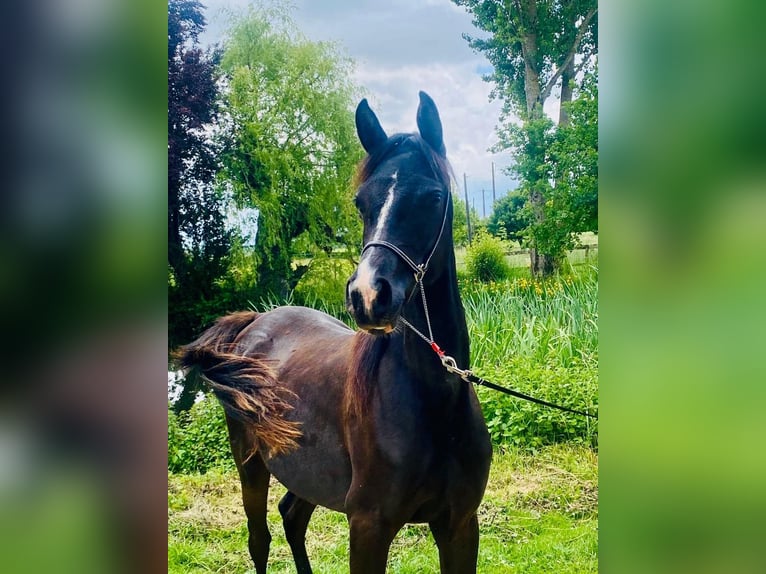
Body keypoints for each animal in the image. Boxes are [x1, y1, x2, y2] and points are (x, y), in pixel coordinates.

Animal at [180, 92, 492, 572]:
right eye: (361, 202)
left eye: (434, 196)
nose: (368, 294)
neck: (434, 403)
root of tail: (254, 322)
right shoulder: (368, 528)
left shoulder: (459, 526)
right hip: (250, 463)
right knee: (259, 539)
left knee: (292, 516)